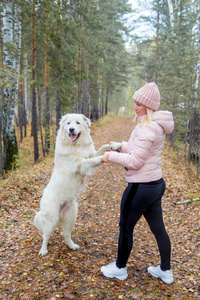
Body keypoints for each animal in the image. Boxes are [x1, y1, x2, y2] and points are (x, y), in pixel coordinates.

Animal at [34, 112, 120, 255]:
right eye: (68, 123)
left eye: (78, 123)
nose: (71, 129)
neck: (76, 145)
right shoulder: (80, 164)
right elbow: (95, 159)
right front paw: (105, 156)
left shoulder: (90, 154)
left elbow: (102, 147)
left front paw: (115, 145)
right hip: (52, 219)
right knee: (45, 236)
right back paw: (43, 250)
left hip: (72, 215)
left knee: (66, 234)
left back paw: (72, 246)